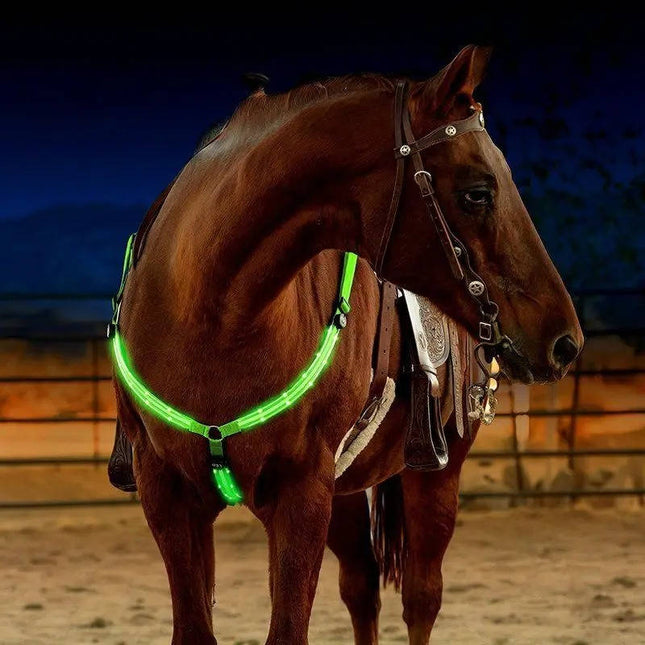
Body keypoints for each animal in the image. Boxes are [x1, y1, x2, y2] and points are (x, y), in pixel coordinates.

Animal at [111, 45, 583, 644]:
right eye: (478, 192)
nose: (565, 342)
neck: (212, 316)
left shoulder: (302, 494)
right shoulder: (167, 493)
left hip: (435, 473)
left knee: (421, 597)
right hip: (346, 493)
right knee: (362, 588)